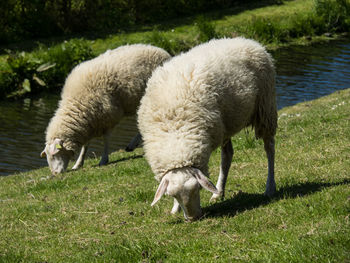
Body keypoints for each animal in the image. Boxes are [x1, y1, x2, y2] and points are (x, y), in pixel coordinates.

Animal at [41, 44, 171, 176]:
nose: (55, 174)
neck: (76, 102)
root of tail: (161, 50)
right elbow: (85, 146)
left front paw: (104, 159)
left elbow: (106, 140)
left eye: (54, 154)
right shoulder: (90, 123)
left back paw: (133, 144)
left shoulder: (108, 116)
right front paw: (78, 164)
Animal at [138, 37, 278, 222]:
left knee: (269, 147)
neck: (175, 130)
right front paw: (175, 209)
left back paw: (270, 187)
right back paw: (219, 193)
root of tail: (246, 40)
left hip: (265, 106)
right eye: (172, 195)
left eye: (198, 188)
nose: (193, 218)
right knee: (227, 155)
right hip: (225, 124)